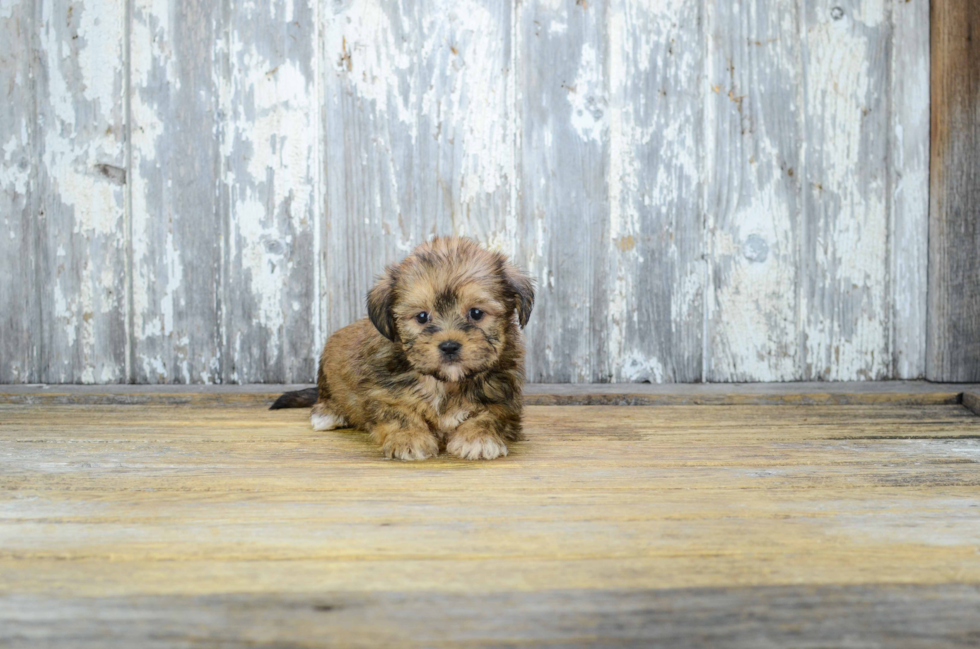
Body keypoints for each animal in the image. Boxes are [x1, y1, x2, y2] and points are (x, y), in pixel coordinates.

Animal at [272, 238, 536, 460]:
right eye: (422, 317)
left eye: (476, 313)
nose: (449, 346)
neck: (444, 383)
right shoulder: (382, 394)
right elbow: (399, 414)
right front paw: (409, 439)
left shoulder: (504, 398)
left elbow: (489, 416)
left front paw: (477, 438)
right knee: (326, 396)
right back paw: (327, 414)